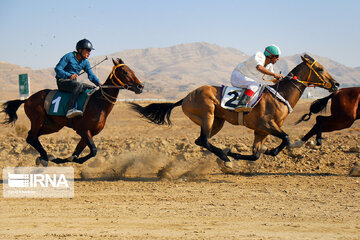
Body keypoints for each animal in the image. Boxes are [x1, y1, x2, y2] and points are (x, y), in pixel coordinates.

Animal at [1, 58, 143, 166]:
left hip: (53, 126)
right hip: (38, 119)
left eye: (132, 71)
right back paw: (45, 157)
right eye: (124, 72)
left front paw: (62, 159)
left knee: (33, 136)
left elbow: (77, 153)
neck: (98, 103)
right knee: (31, 137)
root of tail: (27, 99)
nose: (140, 86)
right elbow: (93, 151)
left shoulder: (90, 133)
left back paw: (43, 157)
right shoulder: (83, 130)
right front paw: (68, 159)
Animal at [131, 54, 338, 169]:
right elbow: (286, 138)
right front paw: (268, 152)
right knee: (203, 140)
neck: (281, 95)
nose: (336, 84)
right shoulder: (267, 125)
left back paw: (225, 155)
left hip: (217, 121)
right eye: (320, 68)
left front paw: (238, 154)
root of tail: (186, 97)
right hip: (207, 115)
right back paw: (224, 156)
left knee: (200, 140)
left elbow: (256, 155)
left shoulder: (261, 131)